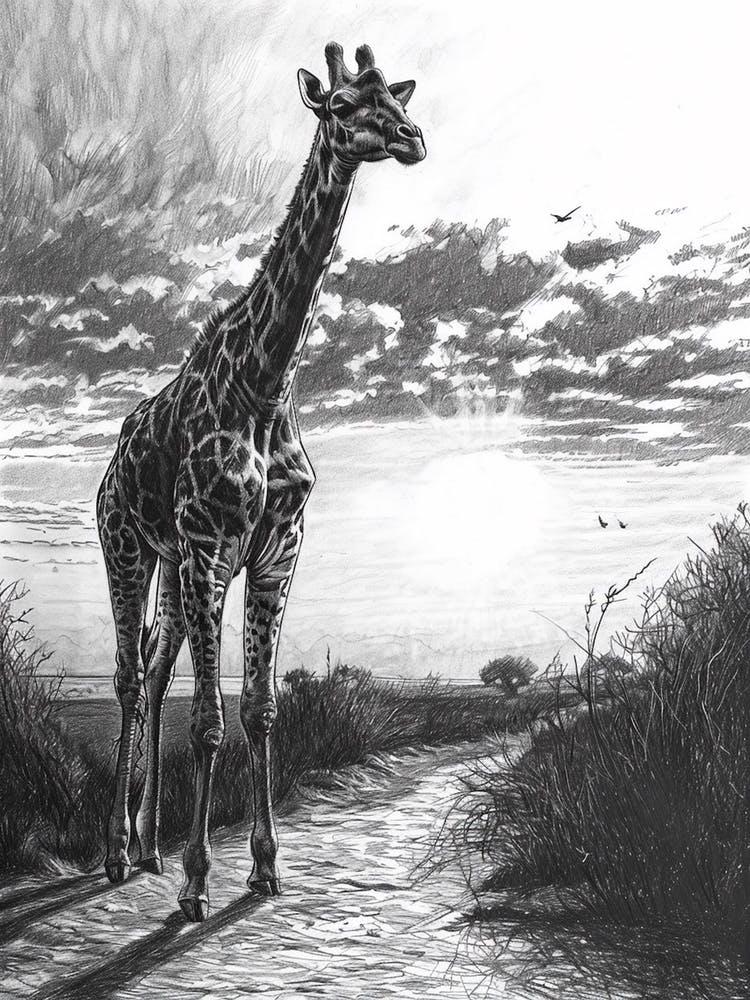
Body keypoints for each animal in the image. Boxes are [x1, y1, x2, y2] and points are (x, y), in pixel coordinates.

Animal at [96, 41, 426, 923]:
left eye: (396, 98)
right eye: (341, 106)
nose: (413, 140)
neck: (267, 382)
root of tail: (110, 465)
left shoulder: (277, 547)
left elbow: (261, 708)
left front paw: (265, 869)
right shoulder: (211, 542)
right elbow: (210, 721)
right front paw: (197, 882)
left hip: (174, 567)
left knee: (153, 667)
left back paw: (145, 847)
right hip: (129, 547)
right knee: (127, 676)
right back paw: (117, 852)